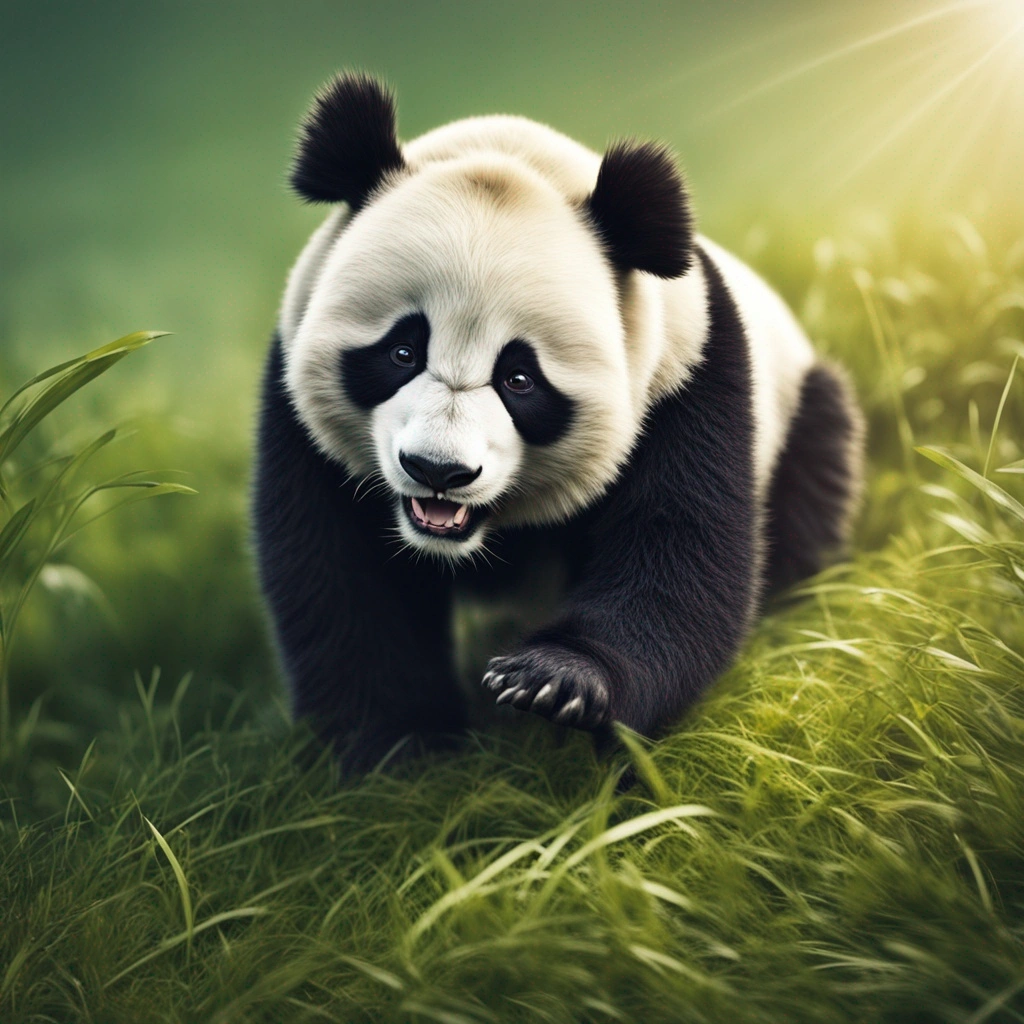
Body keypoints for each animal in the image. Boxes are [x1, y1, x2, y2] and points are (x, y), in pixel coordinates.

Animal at [253, 72, 864, 773]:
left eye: (520, 379)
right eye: (403, 351)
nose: (438, 471)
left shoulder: (687, 383)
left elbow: (678, 556)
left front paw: (555, 680)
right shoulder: (297, 407)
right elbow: (343, 577)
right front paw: (394, 747)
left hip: (800, 415)